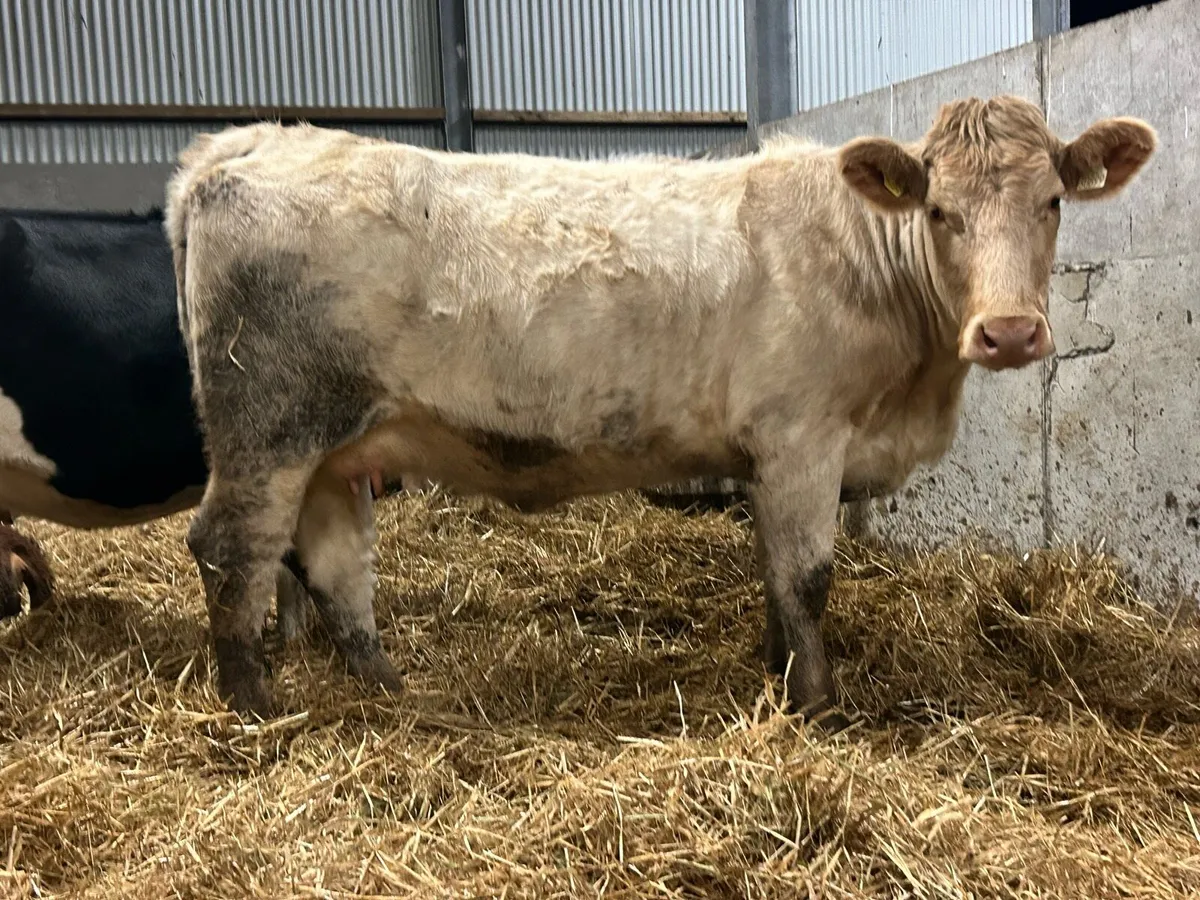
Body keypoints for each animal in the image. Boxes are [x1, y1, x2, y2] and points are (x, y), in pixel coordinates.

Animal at [164, 95, 1156, 724]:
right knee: (233, 549)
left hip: (336, 444)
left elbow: (772, 575)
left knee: (333, 568)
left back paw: (389, 689)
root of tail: (243, 144)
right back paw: (256, 712)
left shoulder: (767, 456)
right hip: (269, 426)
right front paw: (820, 708)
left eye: (1054, 201)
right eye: (940, 211)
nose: (1010, 331)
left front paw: (776, 670)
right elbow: (808, 578)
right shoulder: (802, 437)